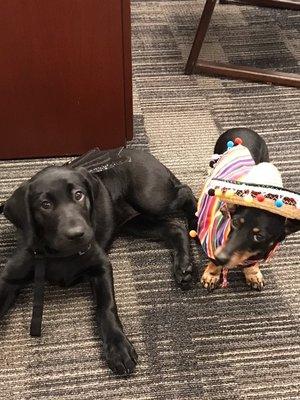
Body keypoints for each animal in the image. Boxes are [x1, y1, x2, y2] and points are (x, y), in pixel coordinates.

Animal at [0, 148, 197, 376]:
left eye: (79, 195)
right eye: (45, 205)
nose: (77, 234)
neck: (60, 254)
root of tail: (136, 150)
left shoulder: (101, 265)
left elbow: (106, 307)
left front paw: (118, 348)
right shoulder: (11, 276)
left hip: (151, 198)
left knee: (186, 192)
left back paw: (196, 223)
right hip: (133, 221)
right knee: (174, 227)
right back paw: (183, 264)